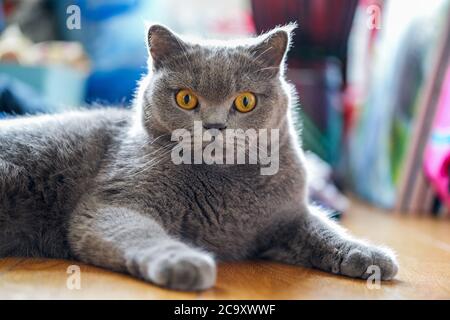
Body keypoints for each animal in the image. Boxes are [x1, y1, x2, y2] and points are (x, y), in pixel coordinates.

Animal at [0, 23, 398, 292]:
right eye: (186, 98)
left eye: (245, 101)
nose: (215, 125)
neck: (226, 184)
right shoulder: (112, 203)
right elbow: (139, 232)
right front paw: (183, 262)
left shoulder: (287, 216)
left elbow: (325, 228)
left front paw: (370, 257)